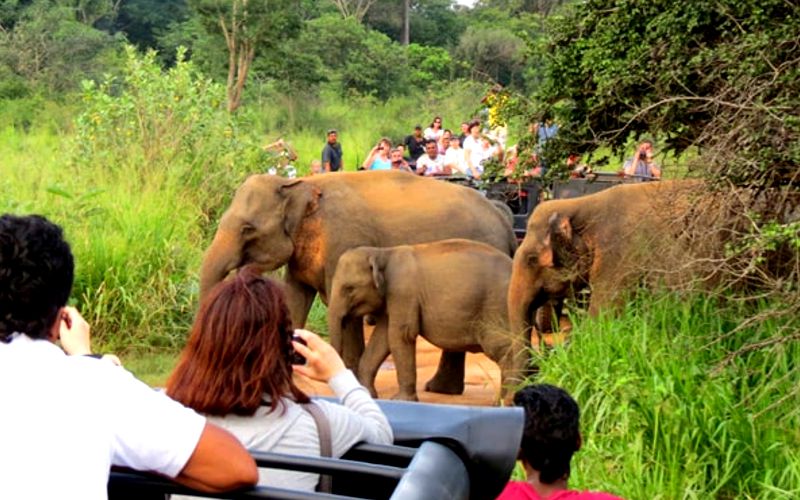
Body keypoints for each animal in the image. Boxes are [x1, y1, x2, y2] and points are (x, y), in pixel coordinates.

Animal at [328, 238, 528, 402]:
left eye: (349, 289)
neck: (383, 253)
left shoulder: (403, 292)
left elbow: (400, 336)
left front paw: (401, 400)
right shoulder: (392, 300)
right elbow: (382, 339)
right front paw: (368, 395)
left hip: (495, 307)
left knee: (503, 349)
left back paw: (504, 401)